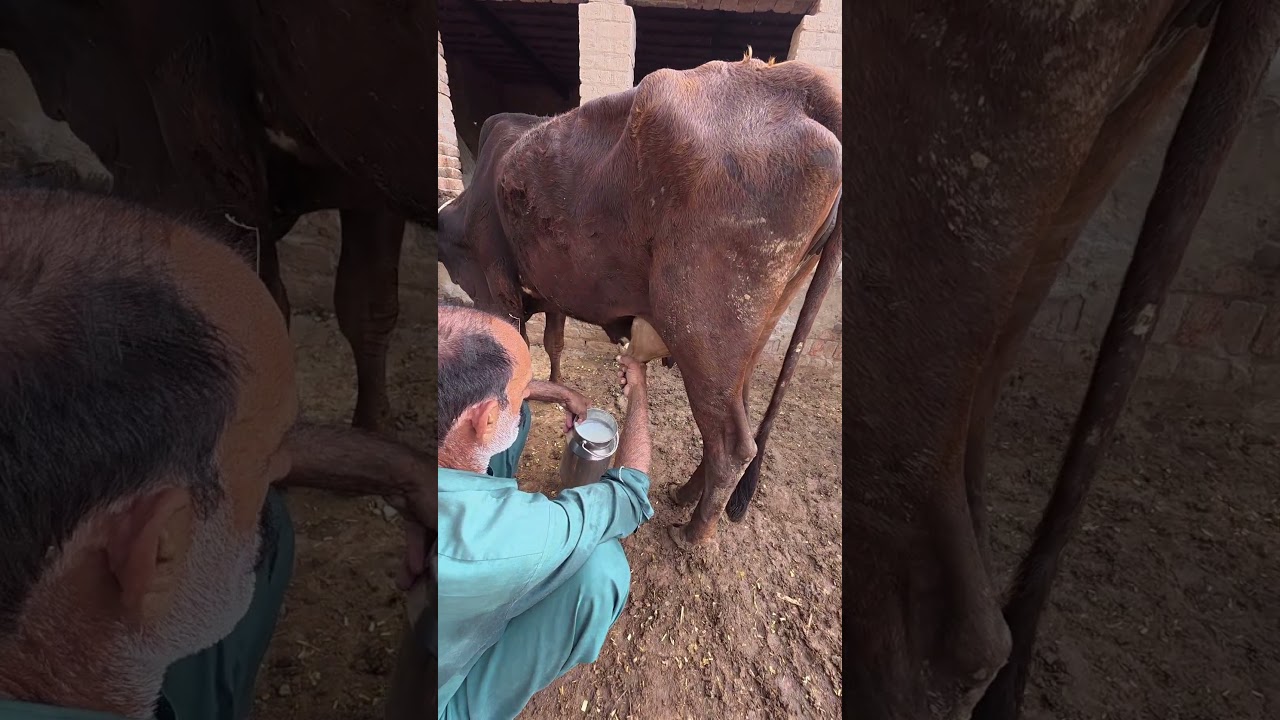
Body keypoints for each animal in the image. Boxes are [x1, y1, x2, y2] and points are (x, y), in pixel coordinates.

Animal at [436, 56, 843, 549]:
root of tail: (791, 81)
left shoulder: (500, 288)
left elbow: (520, 348)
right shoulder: (551, 290)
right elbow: (553, 340)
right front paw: (557, 385)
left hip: (701, 332)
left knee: (731, 444)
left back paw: (693, 533)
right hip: (748, 338)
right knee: (733, 422)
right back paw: (684, 494)